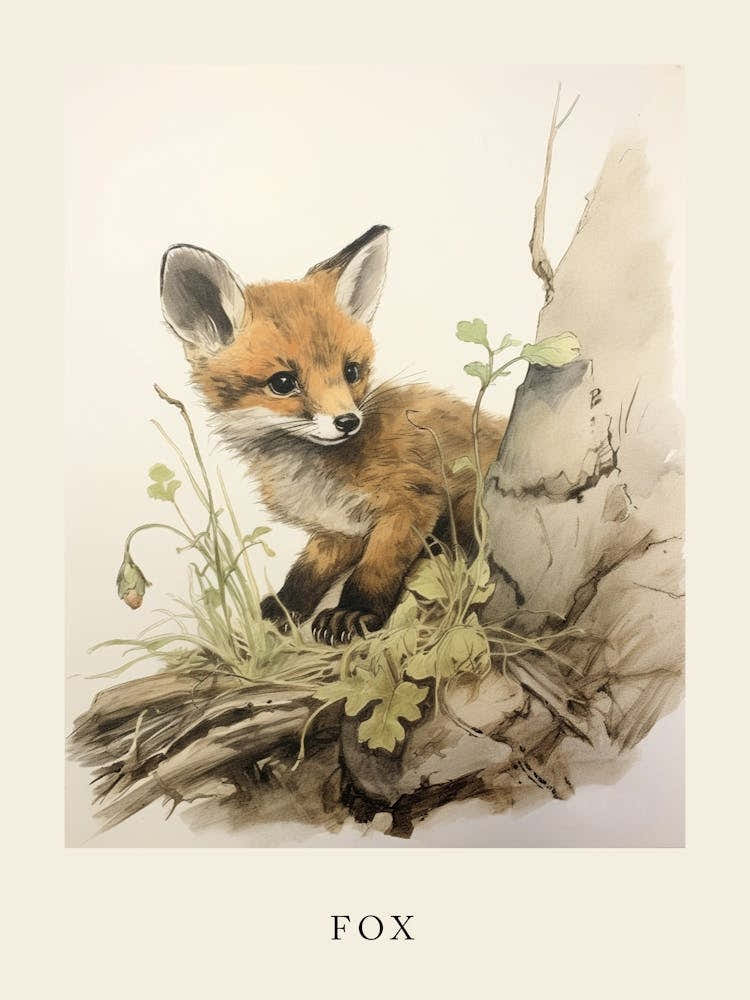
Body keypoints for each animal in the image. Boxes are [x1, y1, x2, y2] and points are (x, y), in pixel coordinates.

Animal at [160, 225, 507, 645]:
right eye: (283, 383)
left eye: (351, 371)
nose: (347, 422)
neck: (314, 475)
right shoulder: (337, 527)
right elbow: (305, 574)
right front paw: (281, 610)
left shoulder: (412, 497)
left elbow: (376, 568)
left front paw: (355, 611)